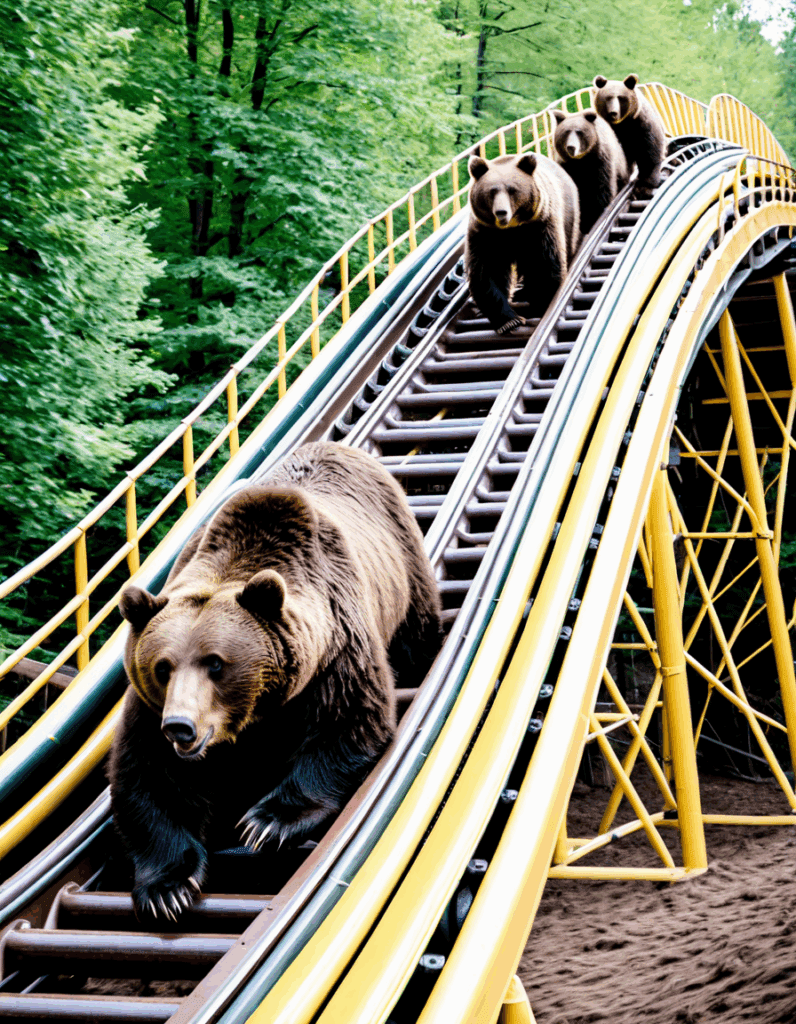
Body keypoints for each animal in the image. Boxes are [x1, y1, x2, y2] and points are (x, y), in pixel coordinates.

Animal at [109, 441, 442, 925]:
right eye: (163, 666)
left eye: (215, 663)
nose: (181, 727)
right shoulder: (151, 707)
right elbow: (149, 774)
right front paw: (168, 889)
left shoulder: (334, 652)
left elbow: (346, 725)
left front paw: (265, 823)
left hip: (404, 568)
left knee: (417, 634)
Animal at [466, 151, 581, 335]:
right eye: (491, 191)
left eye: (512, 190)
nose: (501, 212)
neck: (511, 228)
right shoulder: (484, 234)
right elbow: (486, 273)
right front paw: (509, 321)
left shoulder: (539, 227)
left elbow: (544, 264)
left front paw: (542, 303)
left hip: (569, 215)